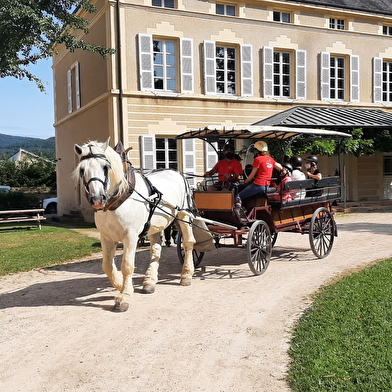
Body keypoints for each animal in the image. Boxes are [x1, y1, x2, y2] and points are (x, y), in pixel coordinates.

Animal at [73, 139, 196, 310]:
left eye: (105, 167)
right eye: (82, 169)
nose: (97, 199)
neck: (118, 200)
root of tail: (177, 173)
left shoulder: (130, 237)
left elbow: (127, 265)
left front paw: (124, 295)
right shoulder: (106, 237)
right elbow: (107, 265)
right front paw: (120, 284)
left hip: (184, 216)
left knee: (188, 243)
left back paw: (186, 274)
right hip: (154, 226)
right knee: (156, 250)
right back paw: (149, 282)